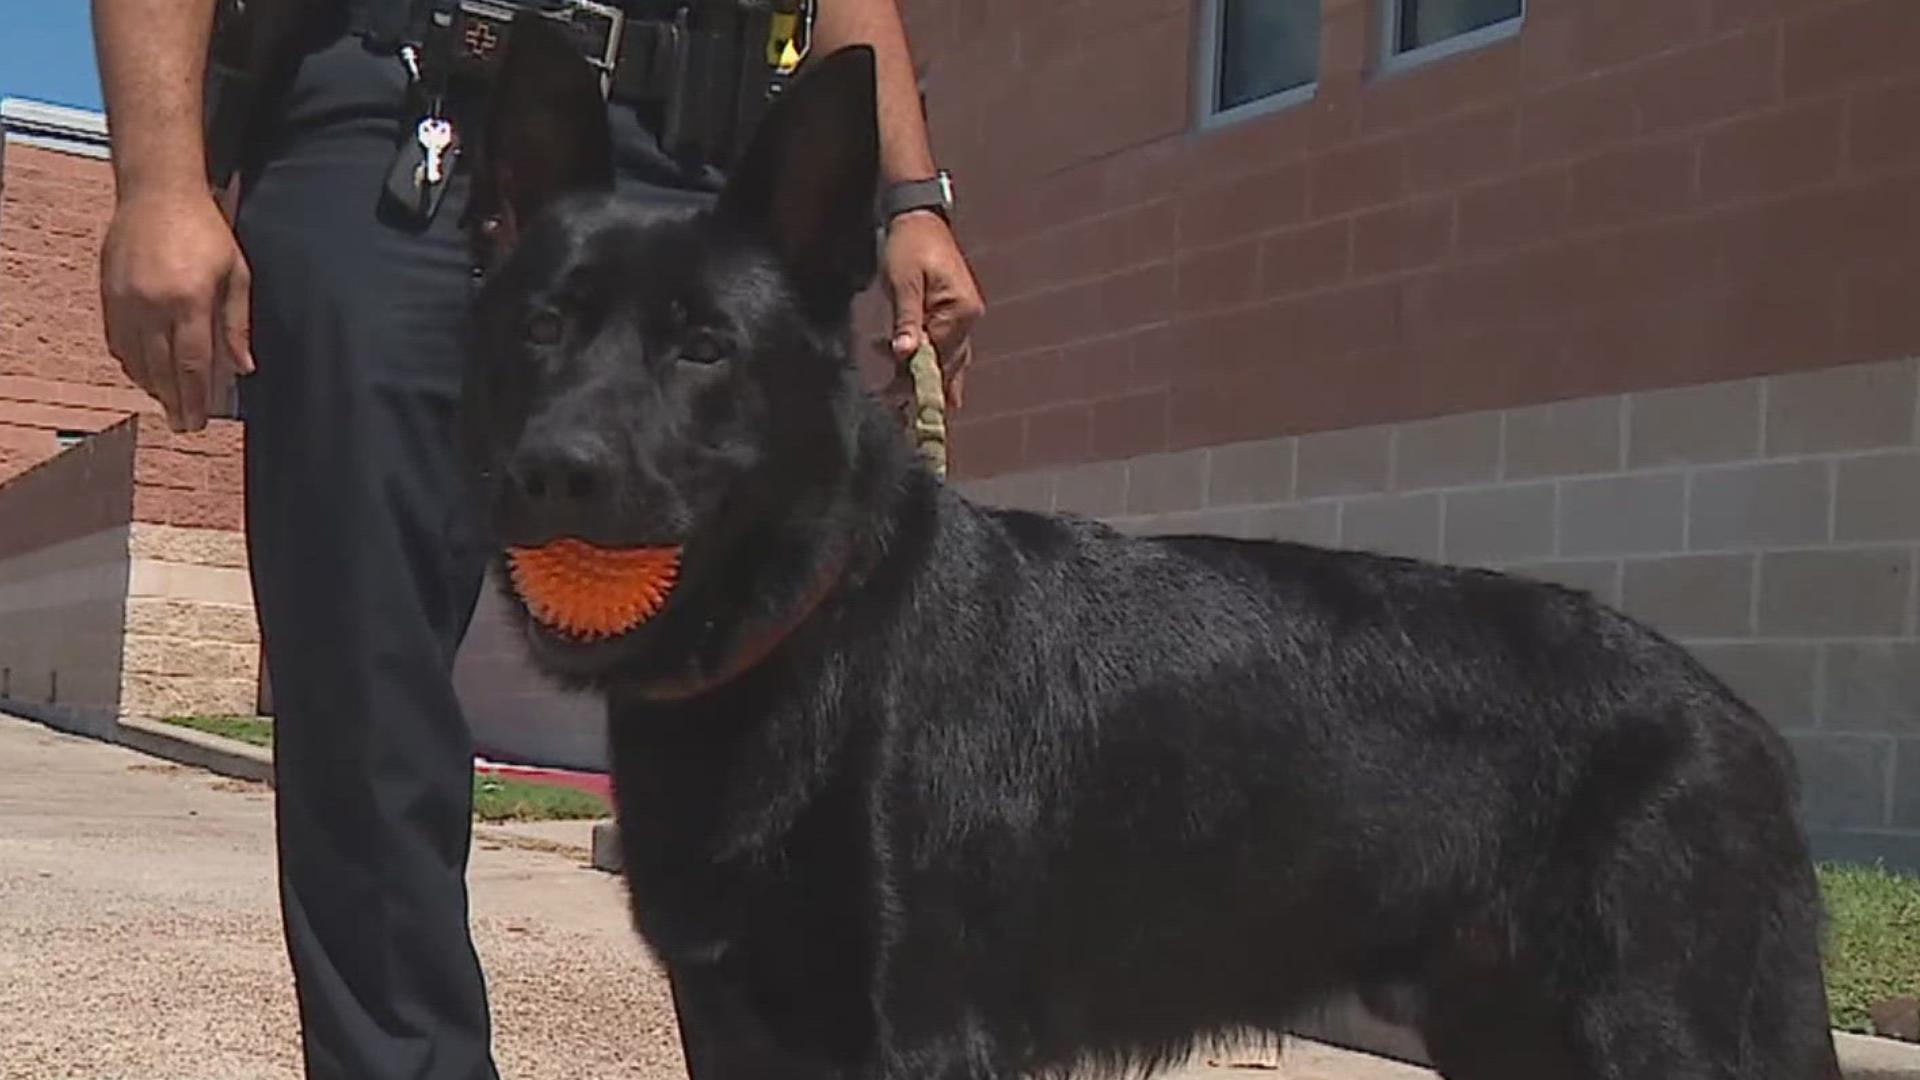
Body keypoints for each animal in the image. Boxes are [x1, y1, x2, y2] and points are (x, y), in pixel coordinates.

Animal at [460, 23, 1843, 1076]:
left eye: (703, 347)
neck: (817, 637)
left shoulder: (917, 1032)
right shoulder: (736, 1022)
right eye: (540, 328)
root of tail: (1739, 722)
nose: (553, 471)